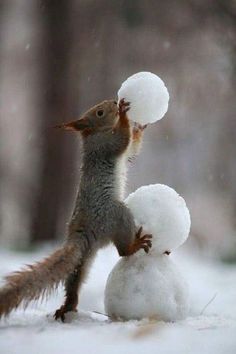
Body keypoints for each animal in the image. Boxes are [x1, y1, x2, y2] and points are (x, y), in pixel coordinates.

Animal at [0, 98, 151, 322]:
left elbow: (132, 147)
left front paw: (139, 127)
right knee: (122, 251)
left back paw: (67, 306)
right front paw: (124, 115)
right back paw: (135, 244)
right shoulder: (105, 145)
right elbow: (123, 140)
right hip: (117, 214)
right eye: (99, 112)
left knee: (74, 280)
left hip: (84, 258)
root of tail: (82, 232)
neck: (94, 132)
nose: (114, 101)